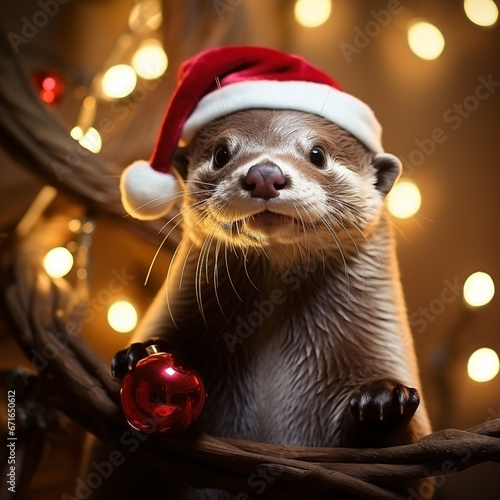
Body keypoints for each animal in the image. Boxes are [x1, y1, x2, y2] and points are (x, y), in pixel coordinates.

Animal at [108, 108, 430, 496]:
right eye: (221, 153)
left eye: (318, 153)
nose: (264, 175)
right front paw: (141, 353)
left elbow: (407, 470)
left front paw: (386, 398)